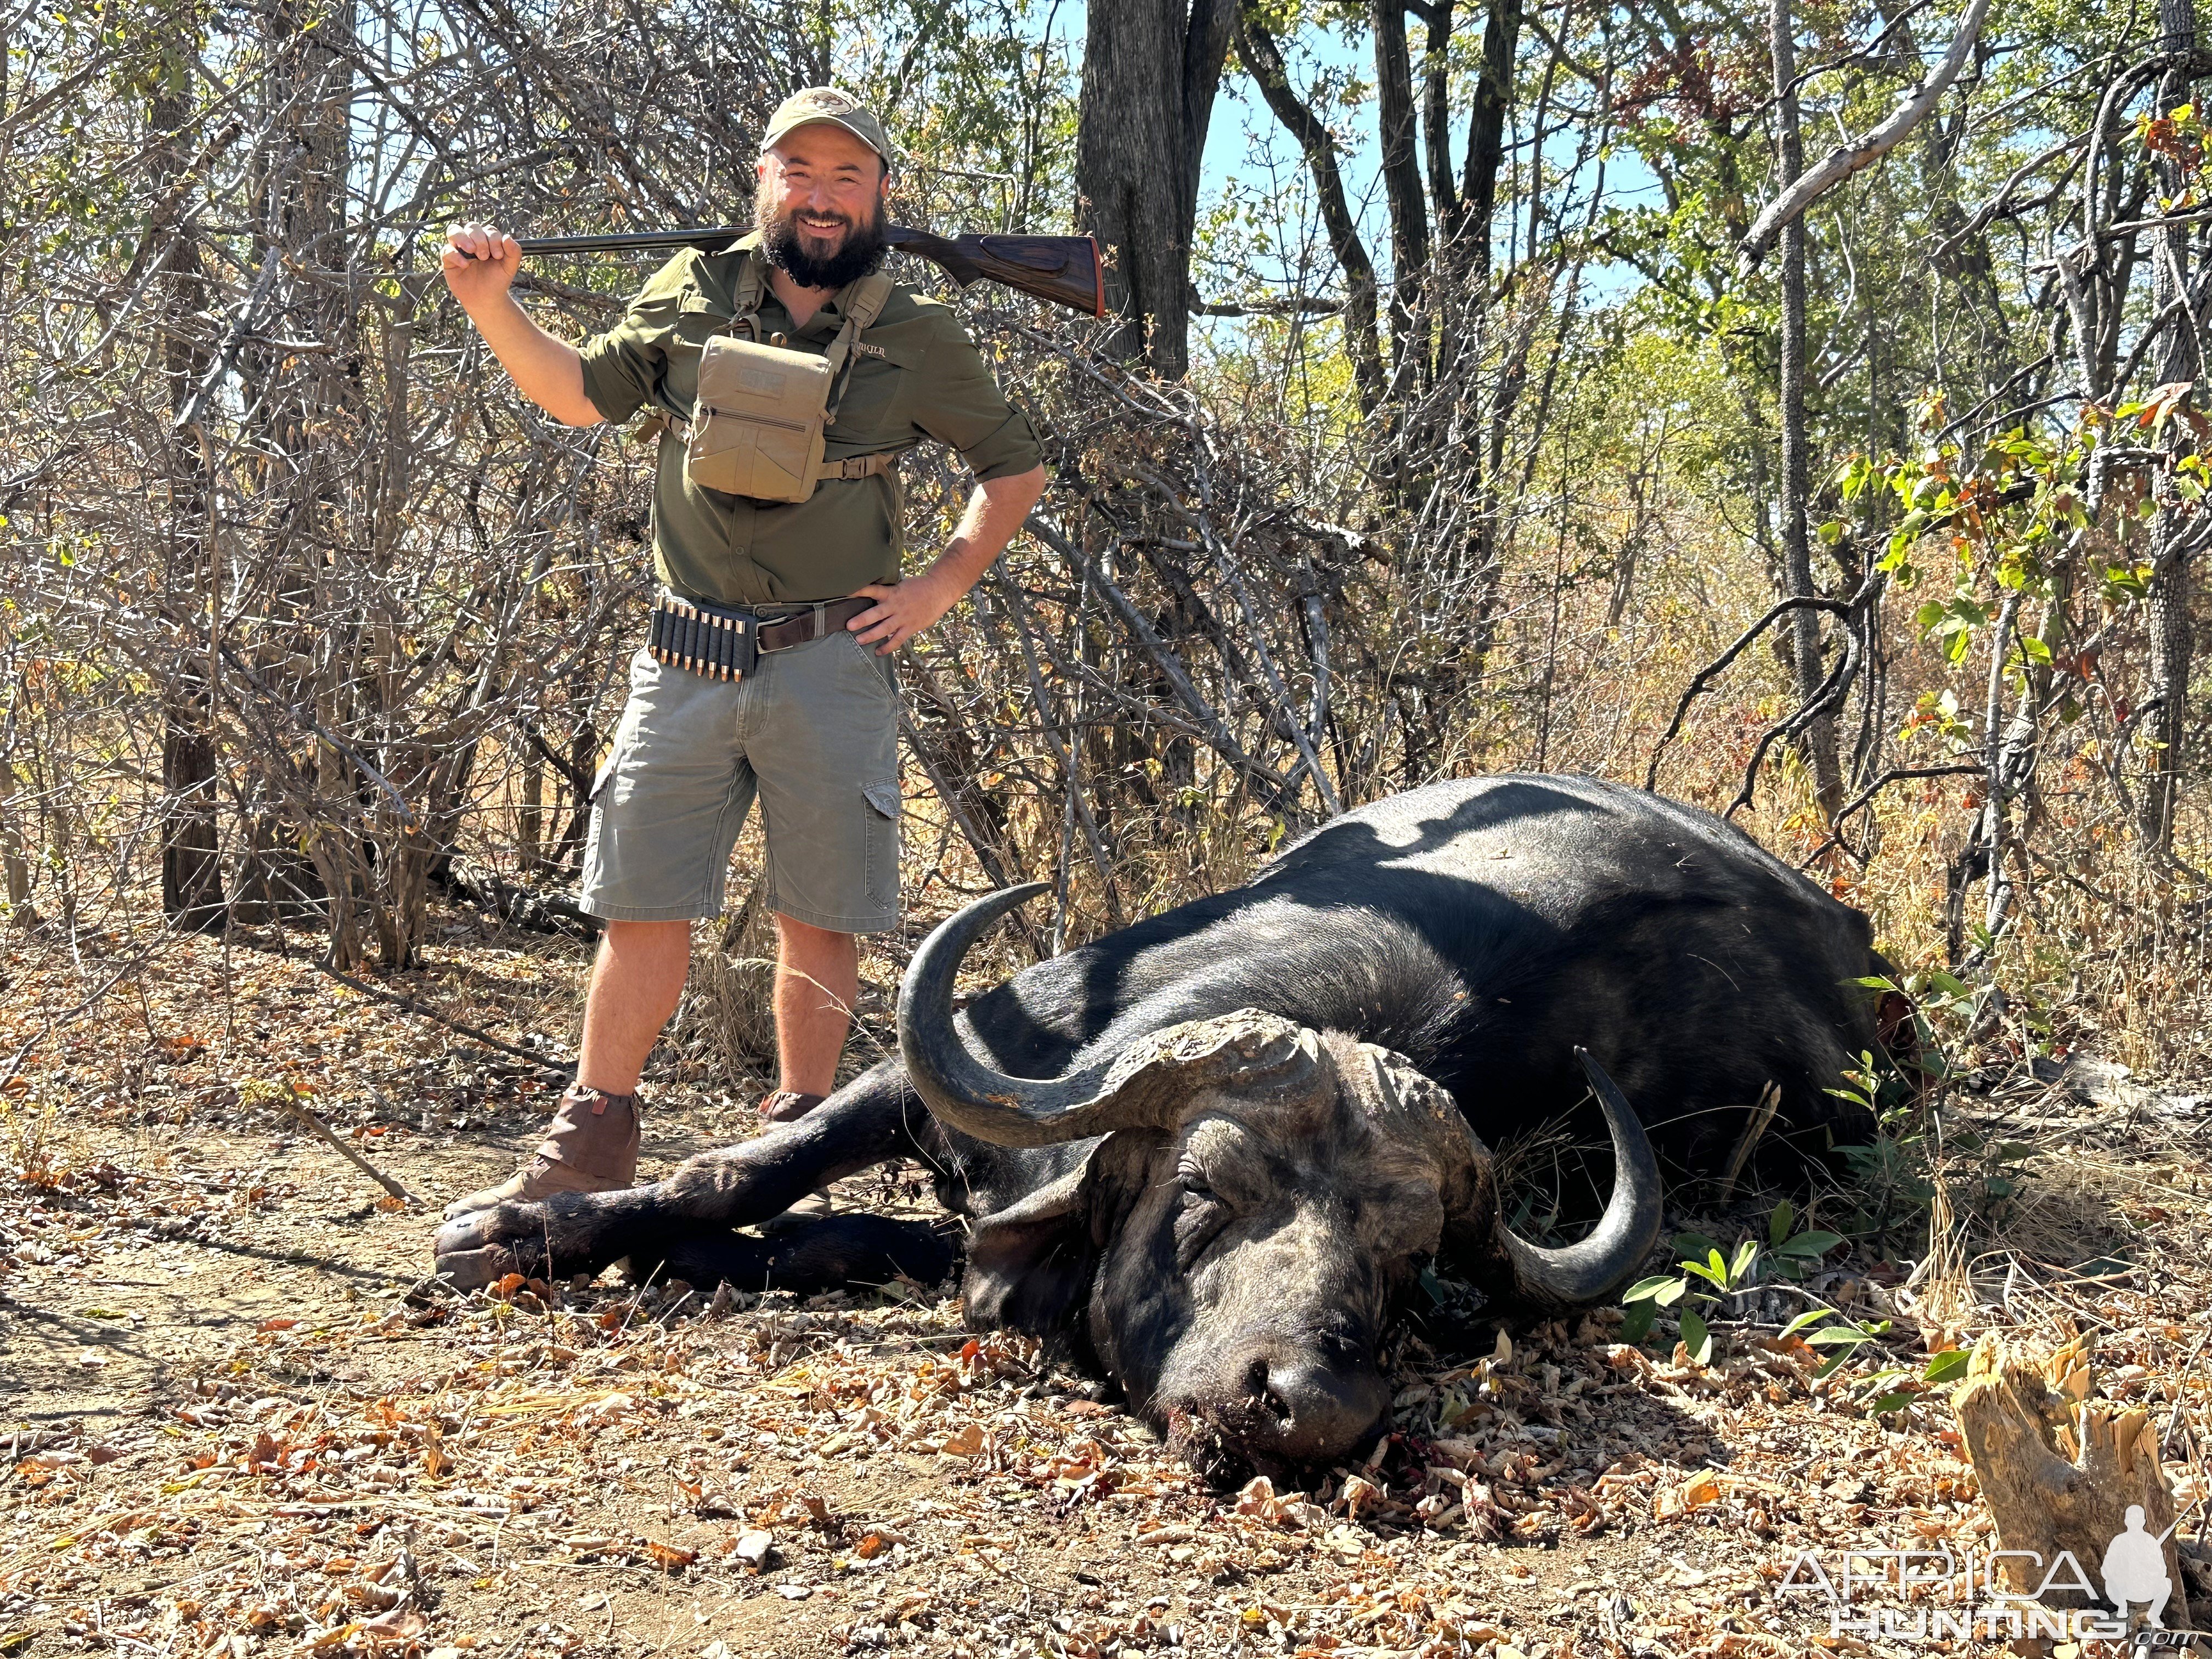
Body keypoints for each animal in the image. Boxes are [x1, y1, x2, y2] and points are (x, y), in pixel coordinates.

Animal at [436, 783, 1902, 1477]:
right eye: (1204, 1190)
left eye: (1404, 1260)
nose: (1312, 1407)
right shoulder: (947, 1061)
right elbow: (746, 1169)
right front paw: (523, 1228)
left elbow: (843, 1237)